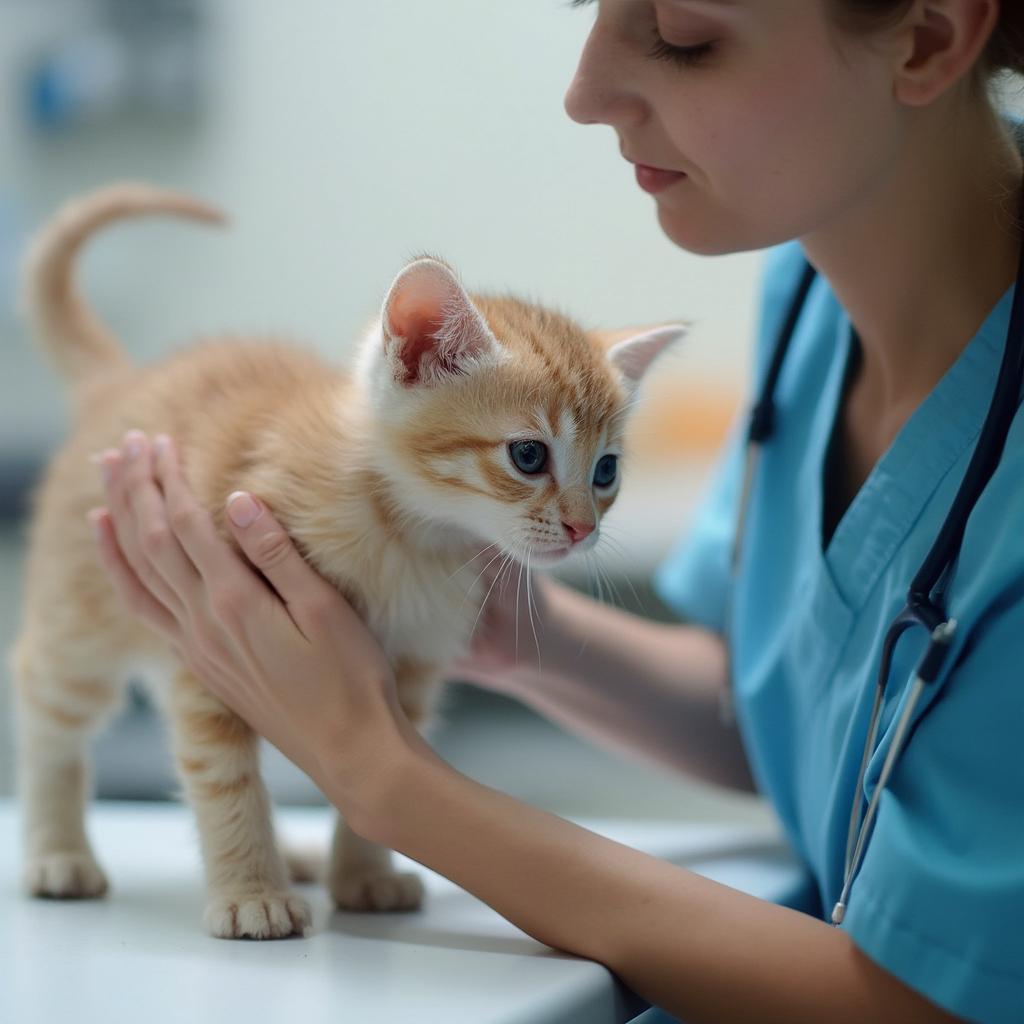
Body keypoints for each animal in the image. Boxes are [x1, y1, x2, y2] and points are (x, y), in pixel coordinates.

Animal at [8, 182, 684, 937]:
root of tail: (123, 382)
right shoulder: (214, 634)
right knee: (45, 699)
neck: (409, 539)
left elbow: (373, 778)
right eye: (529, 455)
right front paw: (251, 892)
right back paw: (58, 853)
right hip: (83, 616)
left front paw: (361, 876)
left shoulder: (400, 667)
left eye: (606, 471)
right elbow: (226, 775)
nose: (581, 528)